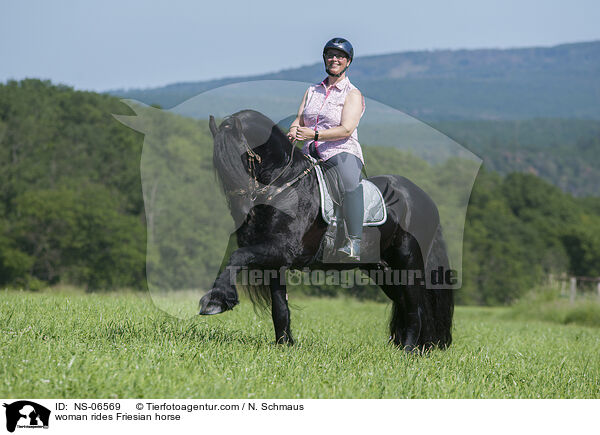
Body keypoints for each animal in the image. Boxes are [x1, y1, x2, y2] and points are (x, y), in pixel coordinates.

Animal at [199, 110, 452, 354]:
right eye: (219, 166)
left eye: (242, 159)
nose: (243, 213)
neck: (287, 187)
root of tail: (423, 198)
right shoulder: (276, 260)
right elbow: (280, 308)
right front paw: (284, 346)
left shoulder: (282, 249)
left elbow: (236, 256)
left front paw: (215, 301)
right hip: (383, 269)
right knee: (405, 303)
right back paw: (417, 348)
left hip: (408, 261)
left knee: (415, 307)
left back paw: (408, 351)